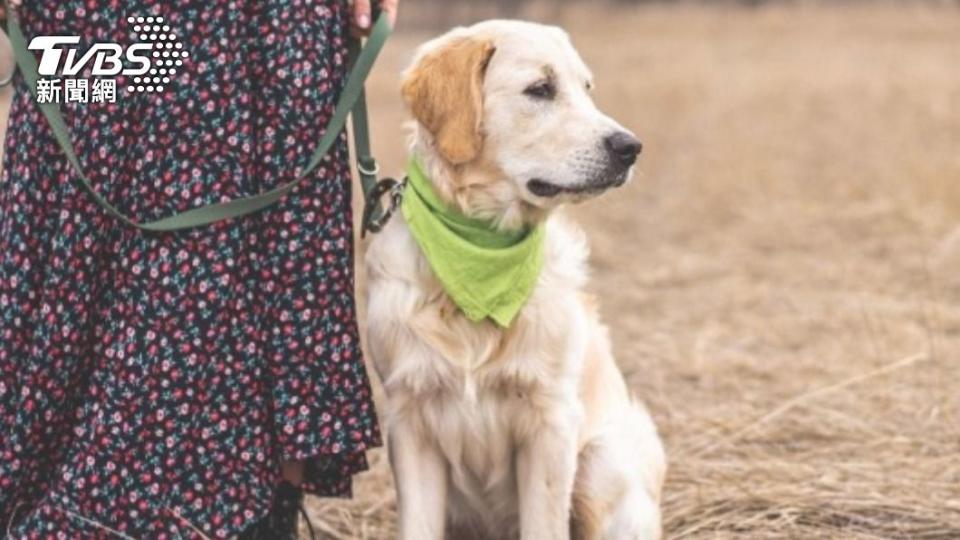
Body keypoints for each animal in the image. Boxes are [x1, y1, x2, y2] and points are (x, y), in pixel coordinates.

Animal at [364, 19, 664, 540]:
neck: (477, 253)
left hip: (601, 462)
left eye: (587, 89)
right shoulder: (409, 420)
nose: (630, 147)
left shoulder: (552, 420)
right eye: (540, 89)